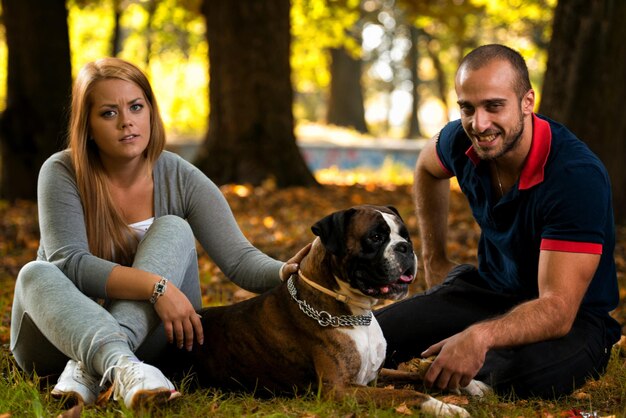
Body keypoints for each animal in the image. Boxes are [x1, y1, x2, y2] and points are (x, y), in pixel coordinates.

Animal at [190, 206, 468, 418]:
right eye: (376, 237)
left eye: (406, 236)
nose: (405, 247)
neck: (357, 313)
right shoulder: (340, 389)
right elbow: (408, 392)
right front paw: (444, 407)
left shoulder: (375, 376)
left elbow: (414, 374)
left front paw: (468, 384)